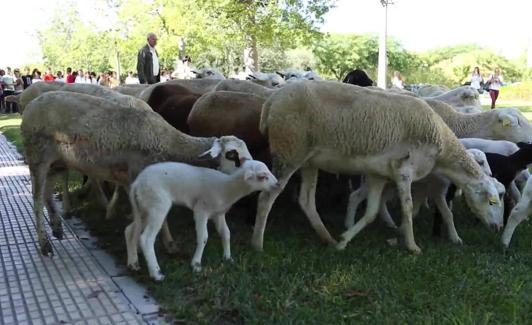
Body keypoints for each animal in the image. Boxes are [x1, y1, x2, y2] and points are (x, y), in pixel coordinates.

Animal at [124, 158, 278, 280]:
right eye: (263, 176)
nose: (277, 185)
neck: (227, 188)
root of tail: (136, 184)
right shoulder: (201, 210)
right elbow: (203, 237)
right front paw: (196, 264)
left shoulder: (218, 214)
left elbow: (226, 233)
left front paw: (228, 258)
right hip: (157, 204)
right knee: (146, 238)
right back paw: (156, 274)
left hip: (144, 208)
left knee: (130, 231)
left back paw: (133, 263)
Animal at [252, 79, 502, 252]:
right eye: (491, 201)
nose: (498, 228)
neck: (442, 146)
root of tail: (271, 101)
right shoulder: (404, 170)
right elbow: (407, 208)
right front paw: (412, 246)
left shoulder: (378, 174)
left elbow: (372, 211)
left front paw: (343, 241)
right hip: (289, 150)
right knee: (266, 197)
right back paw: (258, 244)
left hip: (308, 160)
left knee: (306, 200)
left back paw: (327, 238)